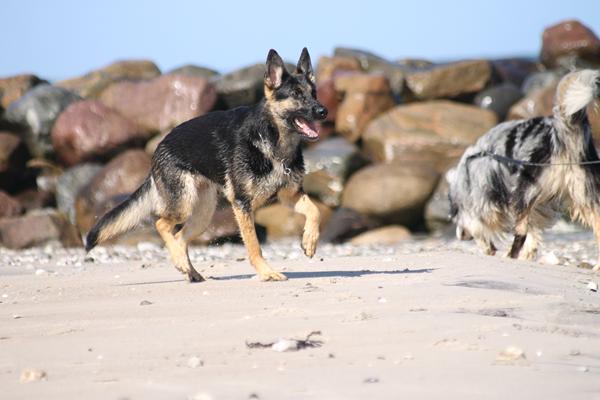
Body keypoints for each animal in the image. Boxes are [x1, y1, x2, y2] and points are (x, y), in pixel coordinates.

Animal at [85, 48, 328, 282]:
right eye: (296, 95)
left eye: (313, 93)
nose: (323, 111)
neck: (273, 141)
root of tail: (159, 145)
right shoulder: (242, 205)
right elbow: (254, 245)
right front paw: (266, 273)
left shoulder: (289, 196)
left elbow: (315, 210)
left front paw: (310, 241)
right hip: (184, 206)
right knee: (161, 224)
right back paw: (181, 262)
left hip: (202, 217)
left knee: (179, 236)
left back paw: (188, 270)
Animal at [450, 69, 600, 272]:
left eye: (455, 217)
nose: (460, 236)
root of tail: (561, 130)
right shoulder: (539, 206)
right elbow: (533, 234)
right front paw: (527, 255)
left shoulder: (484, 200)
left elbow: (480, 226)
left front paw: (487, 246)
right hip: (583, 190)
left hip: (524, 189)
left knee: (520, 231)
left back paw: (510, 255)